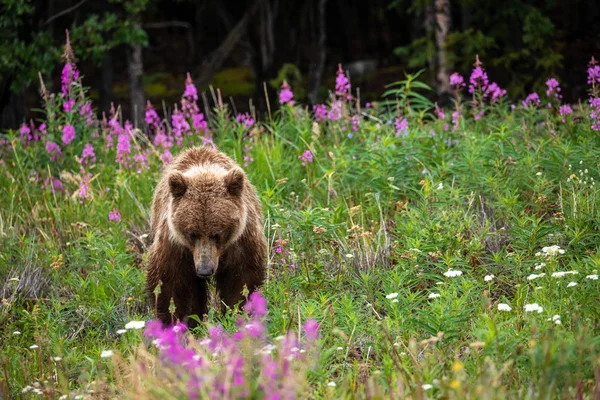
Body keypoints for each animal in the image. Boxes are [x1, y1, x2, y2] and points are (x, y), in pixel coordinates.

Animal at [146, 146, 266, 324]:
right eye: (192, 233)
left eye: (216, 234)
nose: (204, 270)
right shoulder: (175, 245)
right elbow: (170, 284)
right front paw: (177, 321)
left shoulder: (241, 240)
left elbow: (241, 279)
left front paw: (237, 312)